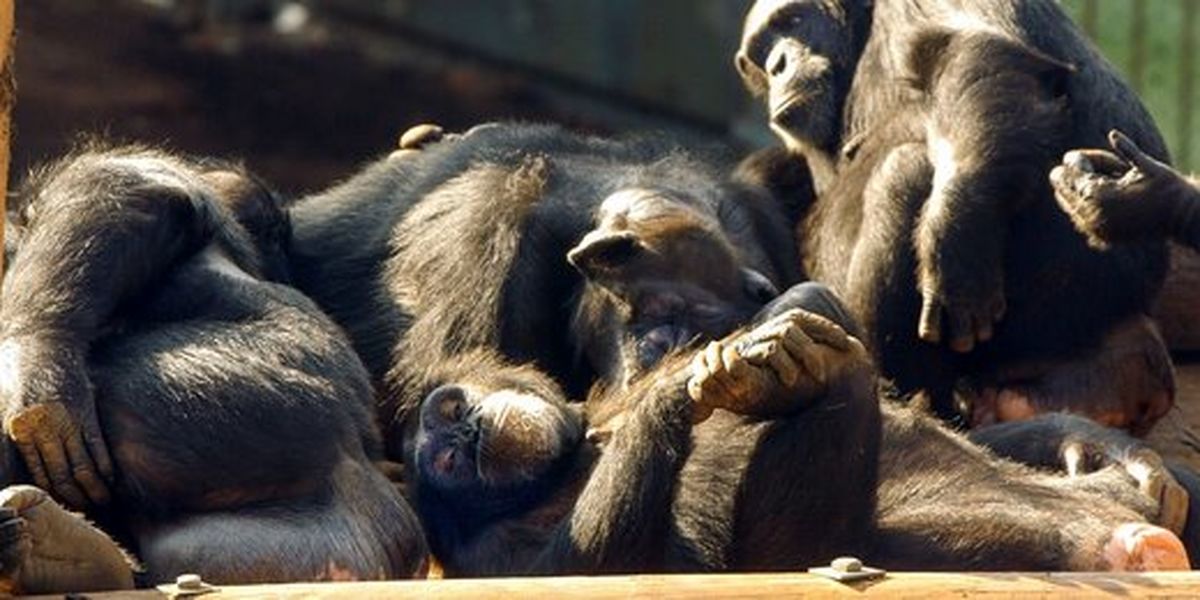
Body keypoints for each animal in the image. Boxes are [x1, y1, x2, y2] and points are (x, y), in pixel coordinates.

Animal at [734, 1, 1176, 432]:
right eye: (759, 50)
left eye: (791, 20)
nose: (777, 63)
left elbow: (971, 52)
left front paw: (956, 237)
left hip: (1056, 296)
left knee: (905, 173)